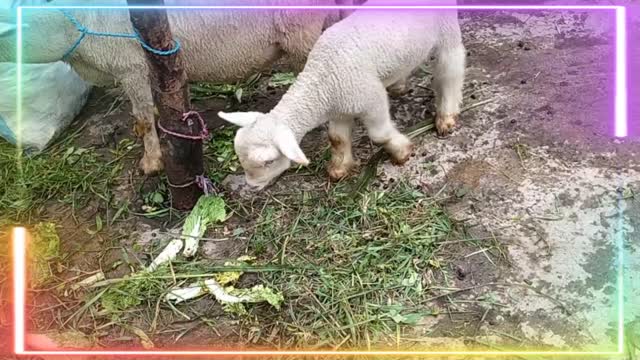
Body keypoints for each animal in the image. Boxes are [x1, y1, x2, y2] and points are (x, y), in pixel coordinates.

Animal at [219, 1, 464, 188]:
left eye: (268, 162)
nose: (252, 186)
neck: (322, 79)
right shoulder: (340, 108)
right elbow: (336, 138)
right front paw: (339, 168)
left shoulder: (371, 98)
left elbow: (379, 135)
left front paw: (402, 152)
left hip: (446, 28)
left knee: (450, 68)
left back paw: (446, 116)